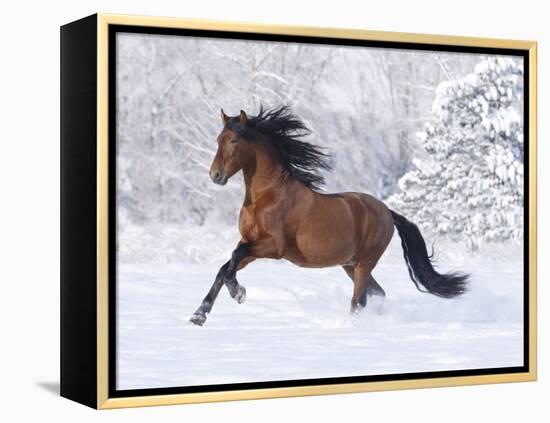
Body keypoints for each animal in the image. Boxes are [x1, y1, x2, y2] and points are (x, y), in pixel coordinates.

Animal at [191, 107, 470, 328]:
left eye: (234, 140)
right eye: (218, 139)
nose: (215, 175)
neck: (267, 197)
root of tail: (387, 212)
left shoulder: (273, 246)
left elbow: (233, 259)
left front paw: (238, 293)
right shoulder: (249, 242)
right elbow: (226, 266)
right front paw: (199, 314)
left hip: (364, 262)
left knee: (359, 300)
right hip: (350, 264)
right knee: (377, 293)